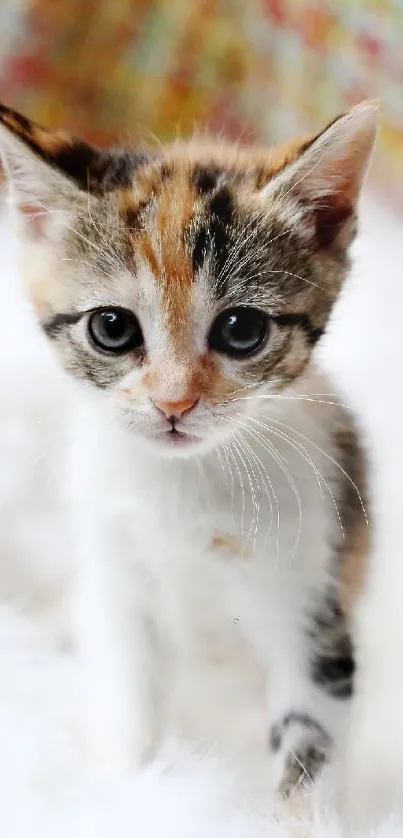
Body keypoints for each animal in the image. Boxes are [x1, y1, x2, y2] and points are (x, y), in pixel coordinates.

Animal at [0, 98, 378, 796]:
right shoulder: (118, 584)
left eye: (242, 330)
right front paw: (132, 793)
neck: (187, 485)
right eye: (112, 328)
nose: (173, 403)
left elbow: (308, 746)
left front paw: (300, 810)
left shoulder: (310, 598)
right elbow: (127, 705)